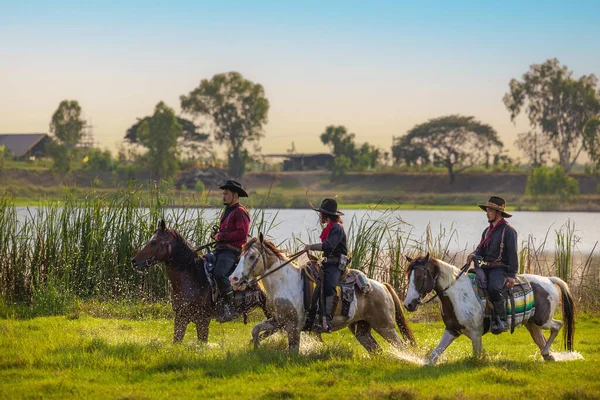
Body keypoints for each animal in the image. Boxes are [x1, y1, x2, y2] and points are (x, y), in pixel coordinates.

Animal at [131, 220, 268, 342]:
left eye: (154, 242)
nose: (134, 261)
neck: (192, 276)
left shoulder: (202, 320)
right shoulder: (181, 317)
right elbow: (177, 341)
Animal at [227, 234, 414, 354]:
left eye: (252, 256)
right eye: (241, 255)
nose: (233, 279)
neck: (284, 283)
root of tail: (383, 286)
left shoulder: (293, 326)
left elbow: (293, 350)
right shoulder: (278, 321)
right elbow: (256, 330)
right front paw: (256, 346)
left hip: (385, 327)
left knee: (402, 346)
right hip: (362, 329)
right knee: (376, 350)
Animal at [400, 255, 576, 364]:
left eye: (420, 277)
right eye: (408, 276)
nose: (408, 304)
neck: (457, 294)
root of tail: (549, 280)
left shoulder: (475, 333)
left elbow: (476, 356)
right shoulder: (452, 330)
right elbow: (434, 355)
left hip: (542, 320)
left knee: (558, 325)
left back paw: (547, 353)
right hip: (531, 323)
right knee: (540, 338)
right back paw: (547, 355)